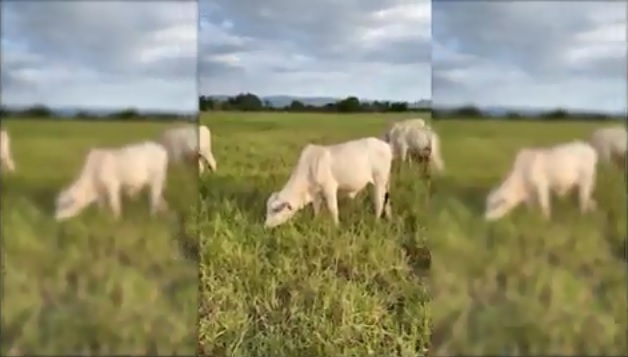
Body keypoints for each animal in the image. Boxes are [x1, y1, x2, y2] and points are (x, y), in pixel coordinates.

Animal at [264, 138, 392, 227]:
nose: (266, 226)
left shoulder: (329, 188)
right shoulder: (316, 193)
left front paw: (336, 226)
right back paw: (388, 217)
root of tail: (387, 146)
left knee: (379, 202)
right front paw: (315, 222)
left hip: (379, 181)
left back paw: (376, 221)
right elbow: (316, 208)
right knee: (386, 199)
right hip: (385, 183)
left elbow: (333, 209)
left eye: (274, 210)